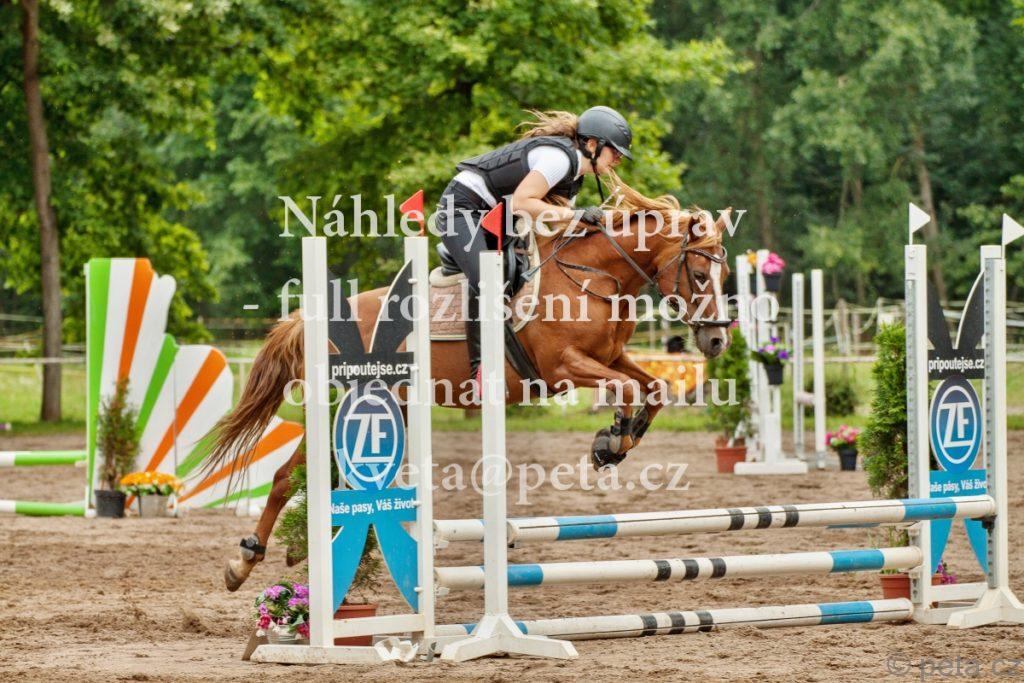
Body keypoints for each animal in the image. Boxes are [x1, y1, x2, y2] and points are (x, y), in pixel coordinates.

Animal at [210, 184, 732, 591]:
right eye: (699, 274)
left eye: (725, 275)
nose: (717, 340)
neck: (591, 279)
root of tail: (309, 319)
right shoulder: (564, 367)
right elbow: (623, 389)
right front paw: (610, 442)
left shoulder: (609, 358)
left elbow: (654, 388)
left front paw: (619, 442)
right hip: (348, 404)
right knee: (290, 477)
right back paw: (245, 561)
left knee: (311, 476)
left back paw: (290, 553)